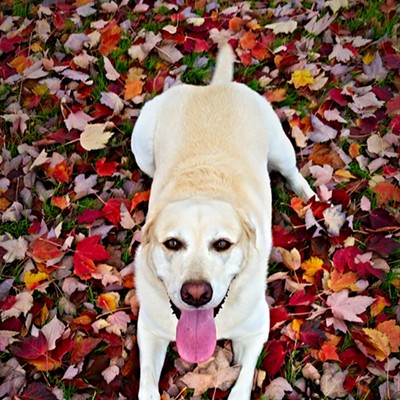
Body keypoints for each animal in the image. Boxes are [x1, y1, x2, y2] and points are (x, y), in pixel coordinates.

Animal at [131, 45, 316, 398]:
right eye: (172, 243)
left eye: (222, 244)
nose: (196, 294)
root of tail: (213, 87)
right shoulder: (148, 329)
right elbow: (146, 384)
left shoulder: (256, 329)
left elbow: (242, 383)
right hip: (142, 148)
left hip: (280, 147)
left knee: (291, 170)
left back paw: (310, 196)